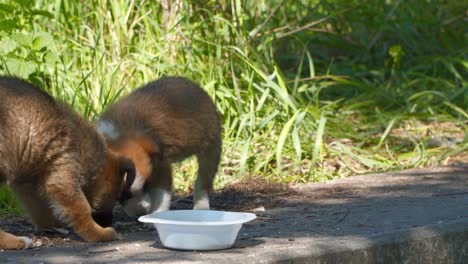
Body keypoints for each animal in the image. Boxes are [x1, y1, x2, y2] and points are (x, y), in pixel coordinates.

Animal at [0, 76, 135, 250]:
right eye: (115, 196)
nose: (108, 222)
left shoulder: (28, 182)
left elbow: (40, 208)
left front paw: (53, 225)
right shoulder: (63, 174)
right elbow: (81, 209)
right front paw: (97, 233)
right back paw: (16, 242)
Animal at [97, 76, 221, 217]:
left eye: (147, 185)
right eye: (120, 197)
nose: (141, 212)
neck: (118, 133)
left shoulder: (161, 166)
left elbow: (161, 194)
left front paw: (156, 214)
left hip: (211, 148)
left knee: (203, 181)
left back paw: (201, 207)